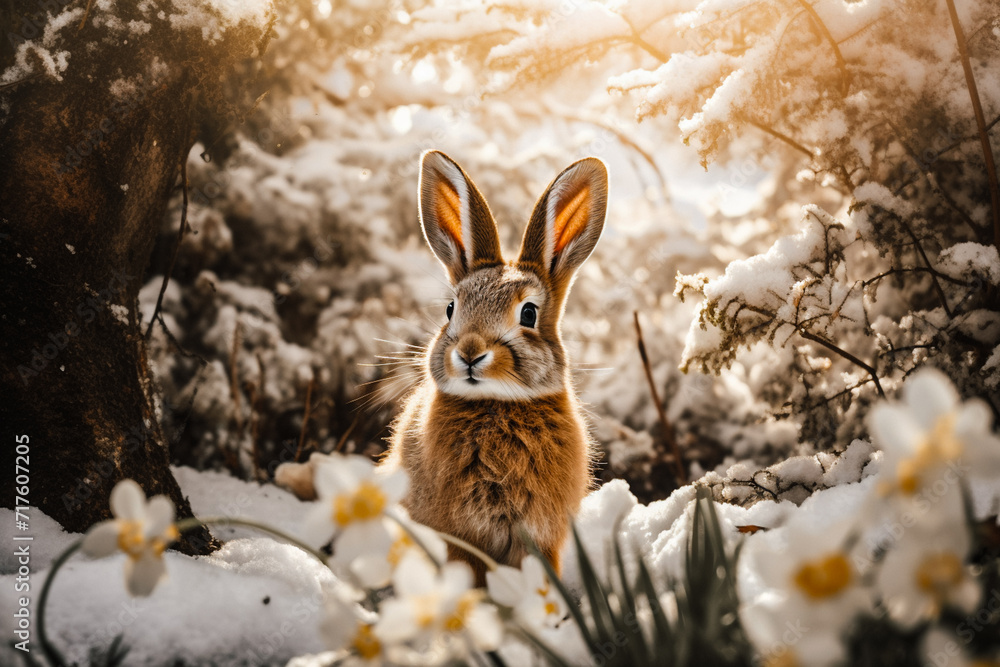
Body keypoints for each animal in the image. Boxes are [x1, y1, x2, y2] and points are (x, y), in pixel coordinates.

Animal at [380, 150, 607, 586]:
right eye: (451, 309)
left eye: (529, 313)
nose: (469, 352)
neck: (496, 405)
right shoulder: (458, 536)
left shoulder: (540, 538)